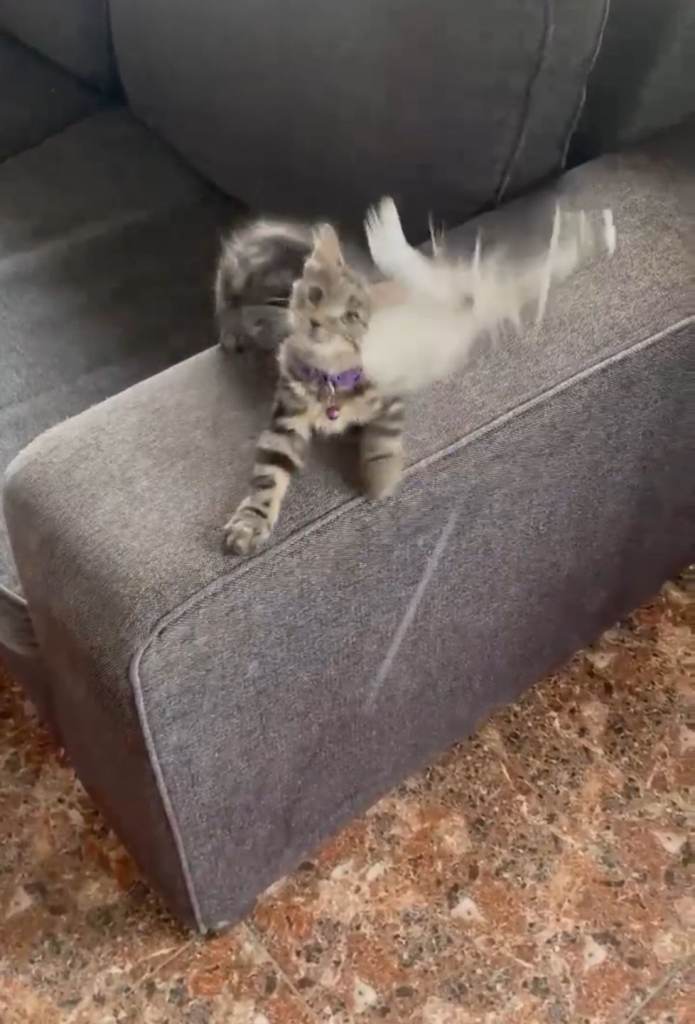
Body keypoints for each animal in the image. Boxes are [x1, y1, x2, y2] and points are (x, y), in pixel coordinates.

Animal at [223, 223, 405, 556]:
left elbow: (383, 437)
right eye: (316, 294)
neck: (330, 378)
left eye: (351, 316)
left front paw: (381, 476)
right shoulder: (286, 417)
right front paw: (250, 521)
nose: (317, 321)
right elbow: (268, 474)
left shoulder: (390, 393)